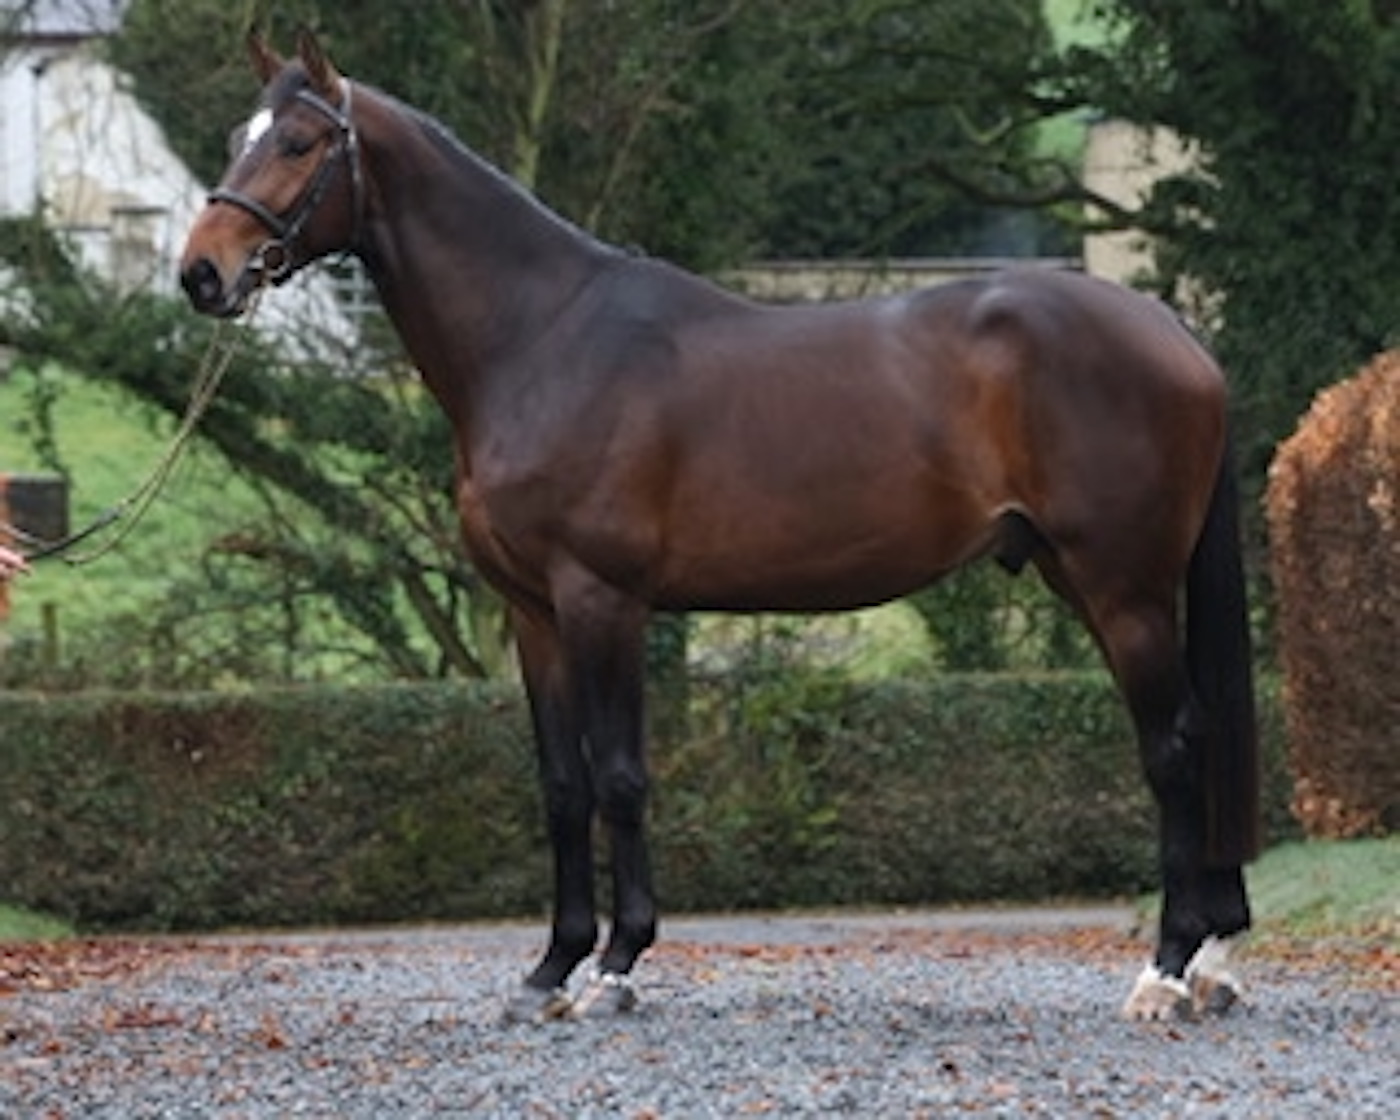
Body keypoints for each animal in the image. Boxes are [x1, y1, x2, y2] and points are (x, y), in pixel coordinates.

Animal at [180, 30, 1259, 1023]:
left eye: (300, 142)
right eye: (239, 136)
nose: (202, 274)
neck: (543, 338)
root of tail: (1175, 333)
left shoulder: (602, 599)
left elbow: (619, 777)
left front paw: (616, 967)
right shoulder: (533, 612)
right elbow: (562, 785)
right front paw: (548, 969)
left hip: (1120, 586)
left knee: (1172, 747)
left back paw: (1167, 970)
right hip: (1079, 576)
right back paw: (1210, 963)